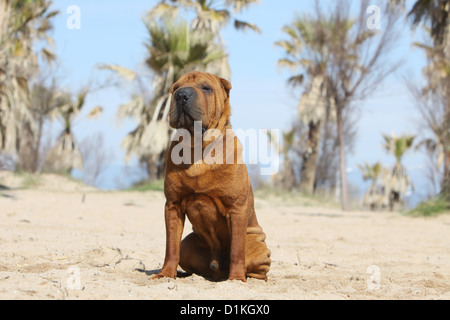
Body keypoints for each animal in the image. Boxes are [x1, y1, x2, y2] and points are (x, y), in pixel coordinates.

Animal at [151, 71, 270, 282]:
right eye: (175, 88)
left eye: (206, 88)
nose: (181, 95)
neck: (197, 147)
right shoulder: (173, 205)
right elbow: (171, 246)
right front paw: (165, 274)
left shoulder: (236, 209)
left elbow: (237, 251)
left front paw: (236, 279)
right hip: (188, 244)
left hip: (257, 246)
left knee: (254, 265)